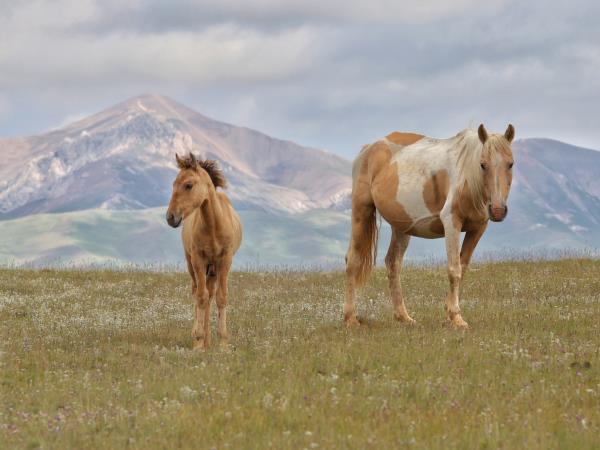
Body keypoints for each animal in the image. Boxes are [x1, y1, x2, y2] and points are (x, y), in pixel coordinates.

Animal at [344, 125, 512, 328]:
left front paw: (449, 313)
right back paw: (351, 318)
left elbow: (462, 267)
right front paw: (456, 318)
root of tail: (368, 149)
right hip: (361, 211)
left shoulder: (477, 228)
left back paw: (403, 317)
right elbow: (454, 269)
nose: (497, 210)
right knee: (353, 260)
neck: (468, 177)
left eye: (510, 164)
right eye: (483, 164)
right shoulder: (452, 223)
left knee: (393, 264)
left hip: (401, 227)